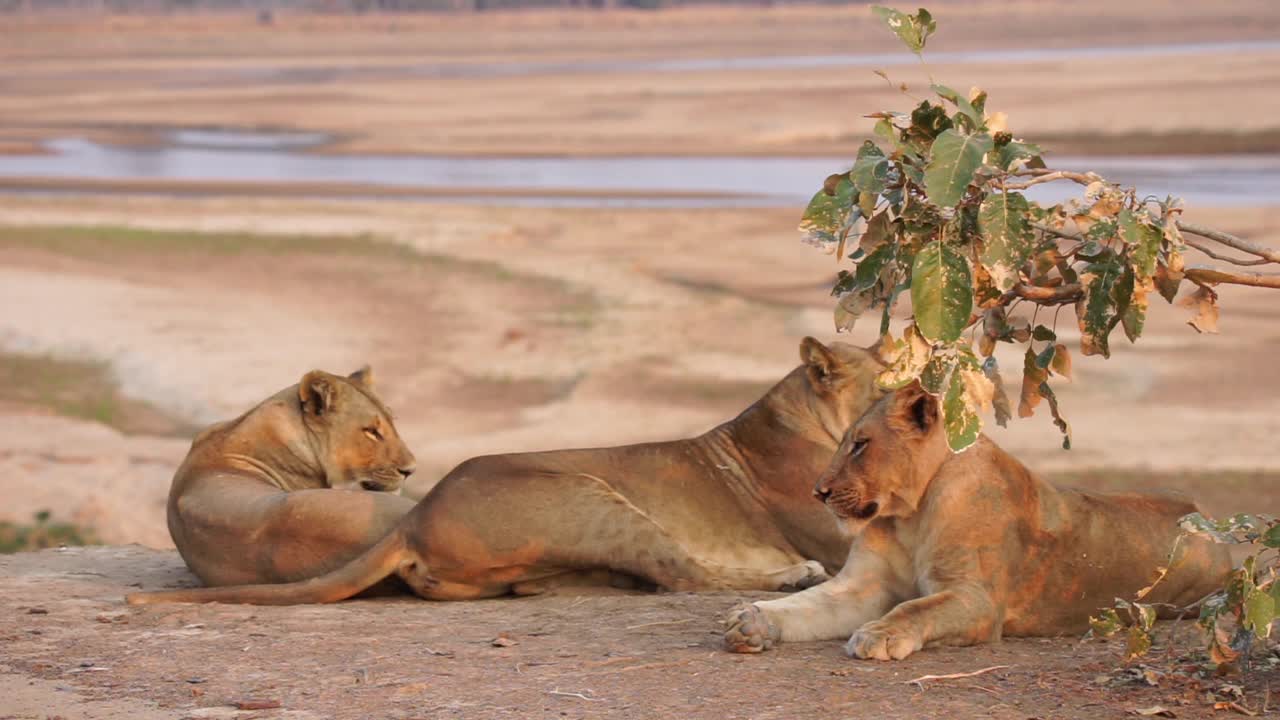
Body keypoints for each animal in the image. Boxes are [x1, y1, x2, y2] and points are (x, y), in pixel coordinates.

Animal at [721, 384, 1228, 661]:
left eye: (860, 445)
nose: (819, 492)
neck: (909, 516)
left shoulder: (976, 598)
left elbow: (915, 609)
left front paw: (880, 635)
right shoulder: (863, 586)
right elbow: (804, 604)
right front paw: (751, 621)